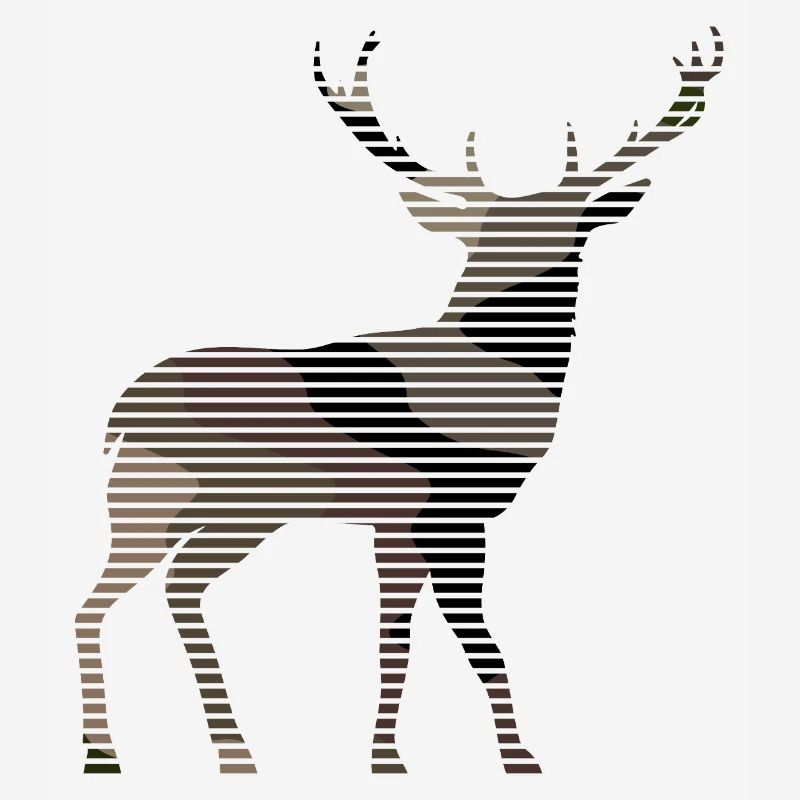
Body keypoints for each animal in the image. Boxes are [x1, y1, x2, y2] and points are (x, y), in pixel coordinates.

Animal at [75, 28, 724, 775]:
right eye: (484, 234)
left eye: (574, 232)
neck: (495, 377)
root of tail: (123, 409)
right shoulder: (447, 517)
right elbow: (479, 643)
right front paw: (520, 760)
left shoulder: (396, 525)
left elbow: (395, 641)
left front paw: (385, 759)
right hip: (178, 501)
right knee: (121, 598)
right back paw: (132, 754)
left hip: (215, 510)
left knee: (157, 589)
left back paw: (209, 755)